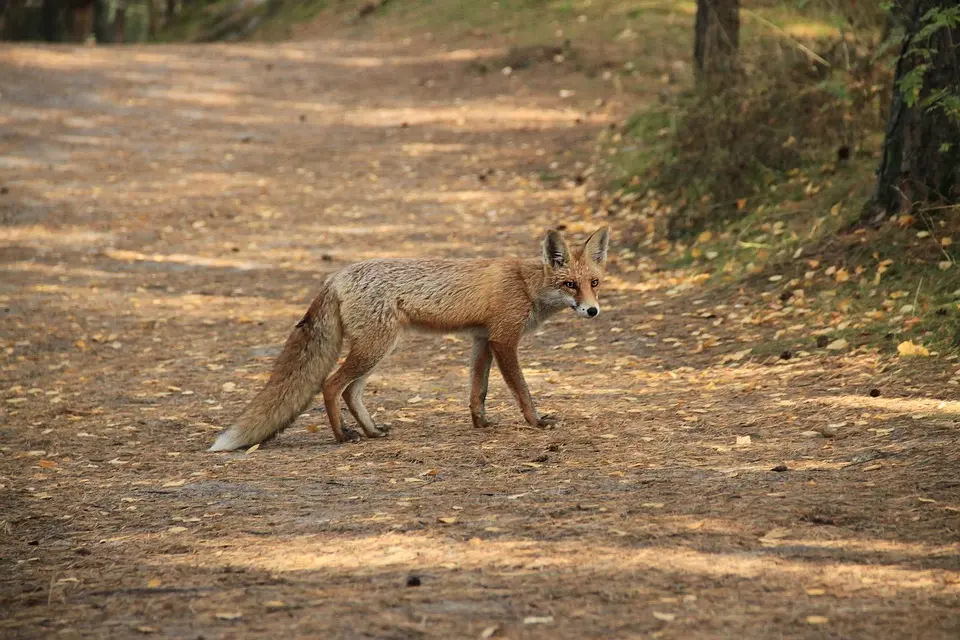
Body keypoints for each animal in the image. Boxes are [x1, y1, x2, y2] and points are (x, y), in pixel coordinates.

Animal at [209, 228, 608, 452]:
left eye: (594, 282)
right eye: (569, 284)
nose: (592, 311)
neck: (526, 285)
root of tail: (336, 276)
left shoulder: (481, 340)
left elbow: (477, 391)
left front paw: (481, 424)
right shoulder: (504, 339)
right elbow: (521, 389)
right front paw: (536, 422)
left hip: (381, 348)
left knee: (350, 391)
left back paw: (372, 431)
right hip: (376, 347)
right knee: (331, 384)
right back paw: (343, 437)